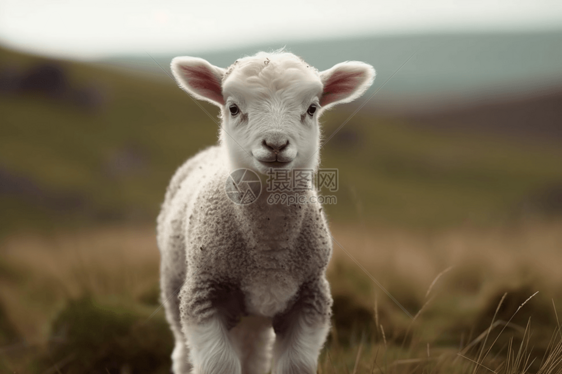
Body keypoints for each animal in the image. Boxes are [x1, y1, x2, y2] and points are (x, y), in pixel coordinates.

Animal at [155, 50, 374, 374]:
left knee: (254, 352)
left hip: (255, 312)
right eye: (233, 108)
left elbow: (296, 365)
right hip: (173, 281)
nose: (276, 143)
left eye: (312, 108)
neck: (269, 250)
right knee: (183, 350)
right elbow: (219, 364)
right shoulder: (203, 293)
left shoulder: (311, 296)